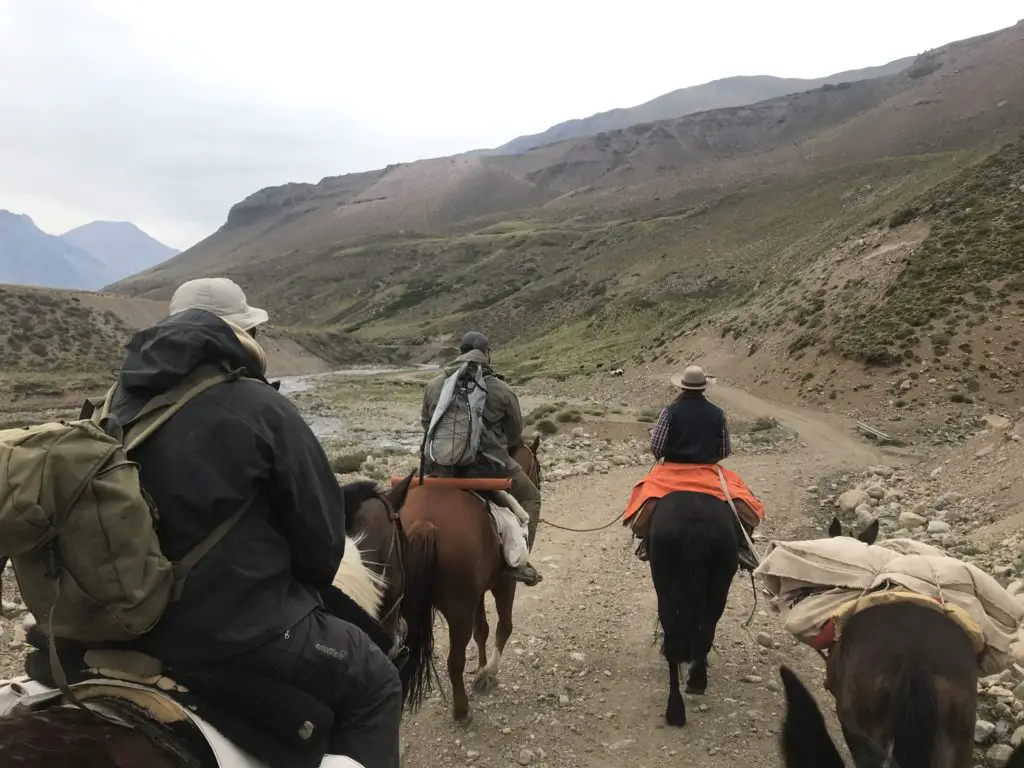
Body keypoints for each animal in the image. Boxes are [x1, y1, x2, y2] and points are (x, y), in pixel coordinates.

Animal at [397, 436, 544, 724]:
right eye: (539, 467)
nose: (540, 484)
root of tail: (424, 522)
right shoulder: (503, 585)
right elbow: (504, 627)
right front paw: (488, 673)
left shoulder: (477, 593)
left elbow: (482, 630)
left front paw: (482, 667)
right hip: (458, 610)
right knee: (454, 660)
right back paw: (462, 710)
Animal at [647, 493, 737, 729]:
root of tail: (695, 519)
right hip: (719, 586)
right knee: (705, 630)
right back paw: (695, 684)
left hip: (666, 589)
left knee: (675, 641)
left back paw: (676, 709)